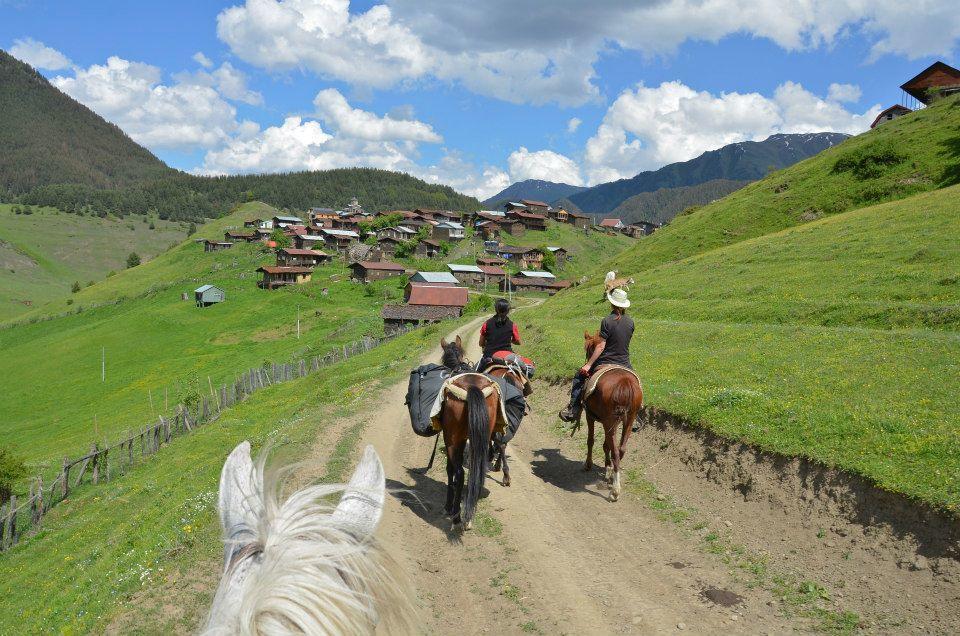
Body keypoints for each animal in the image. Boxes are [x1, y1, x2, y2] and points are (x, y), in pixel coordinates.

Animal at [438, 336, 498, 528]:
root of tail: (472, 388)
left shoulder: (451, 438)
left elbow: (450, 469)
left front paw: (448, 506)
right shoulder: (465, 438)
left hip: (451, 438)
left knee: (460, 472)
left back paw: (457, 515)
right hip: (483, 437)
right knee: (476, 471)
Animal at [576, 332, 644, 502]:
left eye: (588, 349)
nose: (587, 368)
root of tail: (625, 382)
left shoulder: (590, 416)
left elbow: (591, 440)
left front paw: (588, 464)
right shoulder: (609, 422)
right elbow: (606, 444)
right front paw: (607, 469)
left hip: (609, 421)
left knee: (615, 451)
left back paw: (615, 490)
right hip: (627, 420)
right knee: (620, 449)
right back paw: (613, 478)